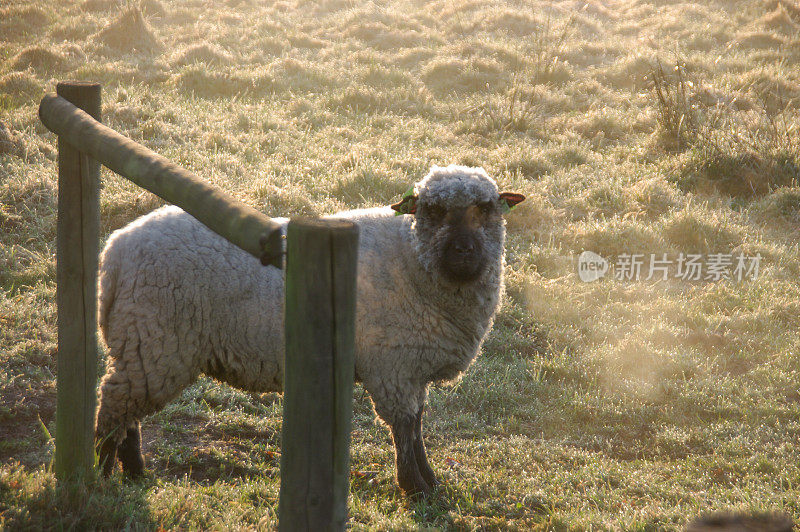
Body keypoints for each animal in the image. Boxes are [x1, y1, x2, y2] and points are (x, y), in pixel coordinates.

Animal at [95, 164, 524, 496]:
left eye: (486, 208)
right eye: (433, 210)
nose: (464, 252)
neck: (412, 258)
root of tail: (114, 251)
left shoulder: (411, 369)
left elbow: (417, 425)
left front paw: (429, 481)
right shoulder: (393, 368)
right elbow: (404, 429)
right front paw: (414, 487)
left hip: (142, 346)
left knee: (127, 411)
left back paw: (134, 474)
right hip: (154, 340)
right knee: (114, 407)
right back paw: (101, 476)